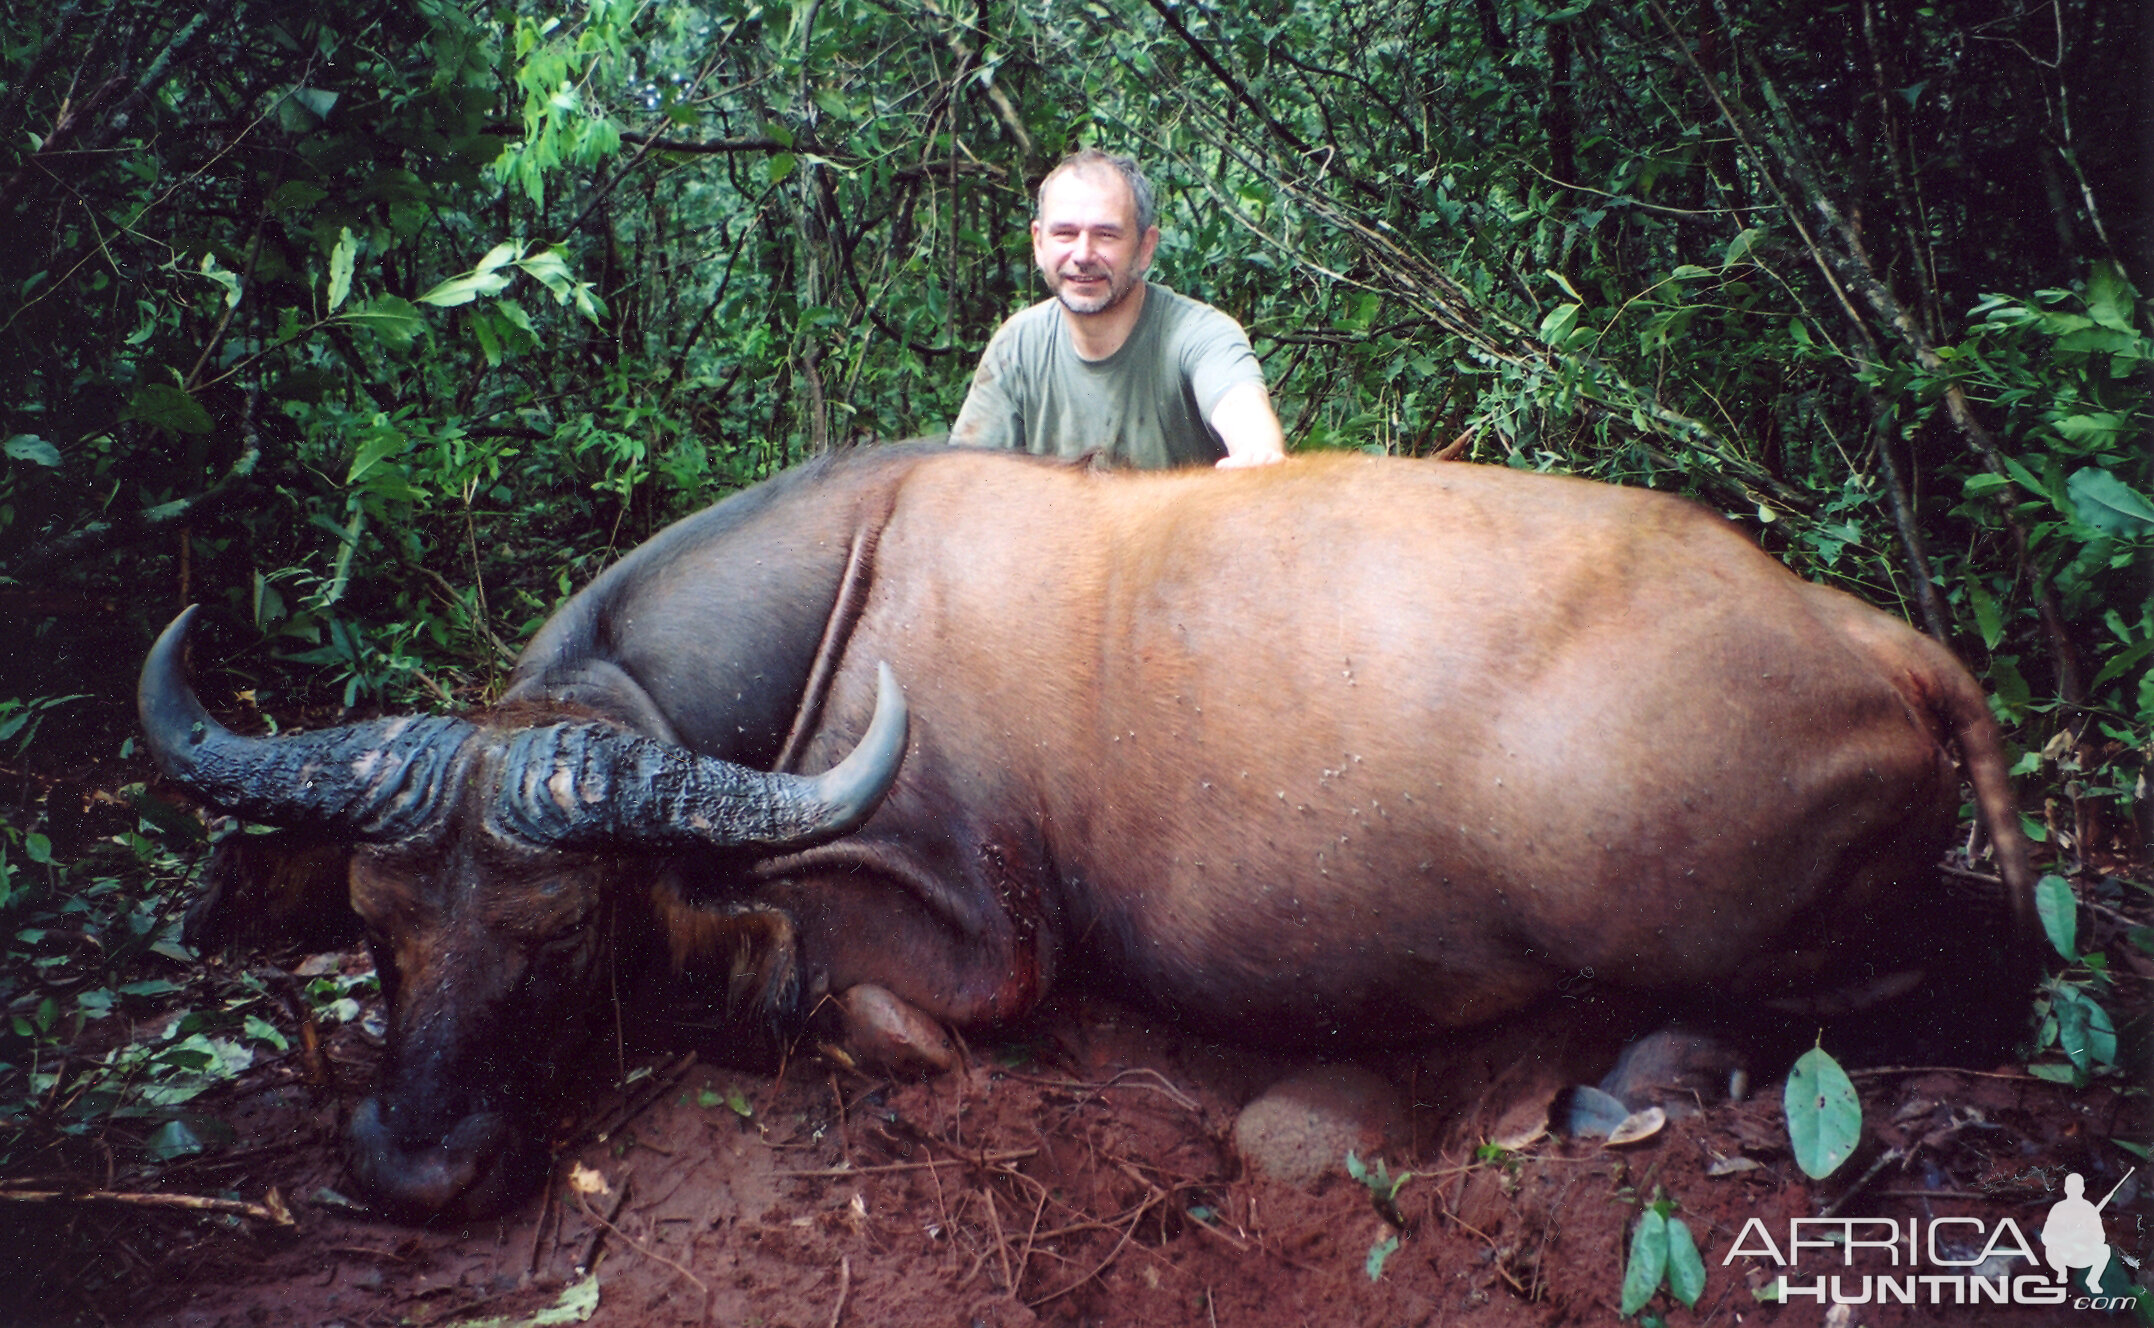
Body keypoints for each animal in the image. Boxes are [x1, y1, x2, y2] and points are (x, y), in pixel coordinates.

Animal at [138, 445, 2033, 1222]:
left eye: (556, 936)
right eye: (379, 927)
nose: (406, 1170)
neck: (835, 617)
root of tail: (1874, 642)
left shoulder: (972, 942)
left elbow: (826, 994)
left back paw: (1627, 1078)